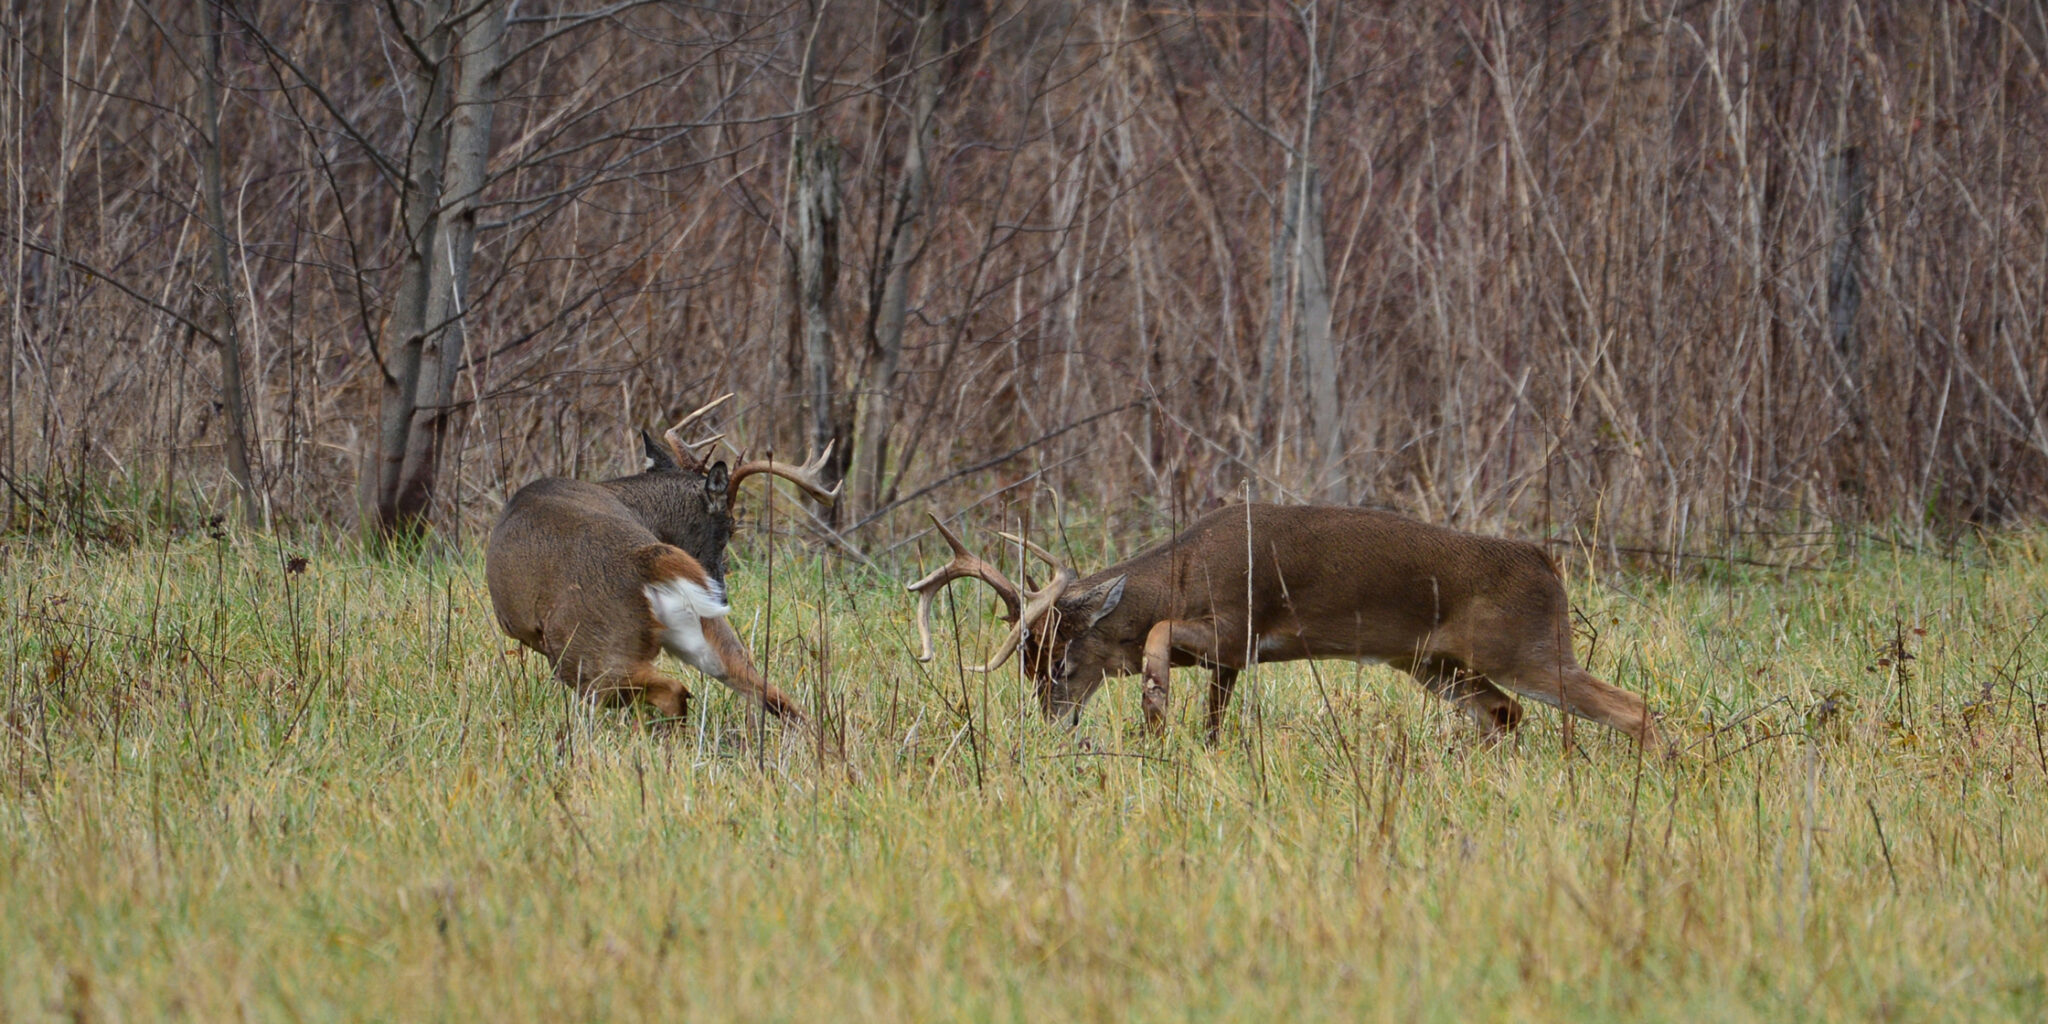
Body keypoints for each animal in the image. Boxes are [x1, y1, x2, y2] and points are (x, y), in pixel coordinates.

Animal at [489, 395, 839, 724]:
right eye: (730, 526)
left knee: (671, 690)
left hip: (585, 648)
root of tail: (648, 559)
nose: (721, 594)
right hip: (708, 634)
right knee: (775, 696)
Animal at [913, 501, 1662, 749]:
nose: (1052, 721)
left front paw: (1153, 705)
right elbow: (1214, 722)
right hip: (1434, 664)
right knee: (1506, 714)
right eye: (1027, 666)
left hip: (1525, 646)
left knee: (1635, 709)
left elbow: (1159, 639)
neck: (1181, 573)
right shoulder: (1230, 662)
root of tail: (1547, 563)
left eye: (1063, 663)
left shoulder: (1238, 627)